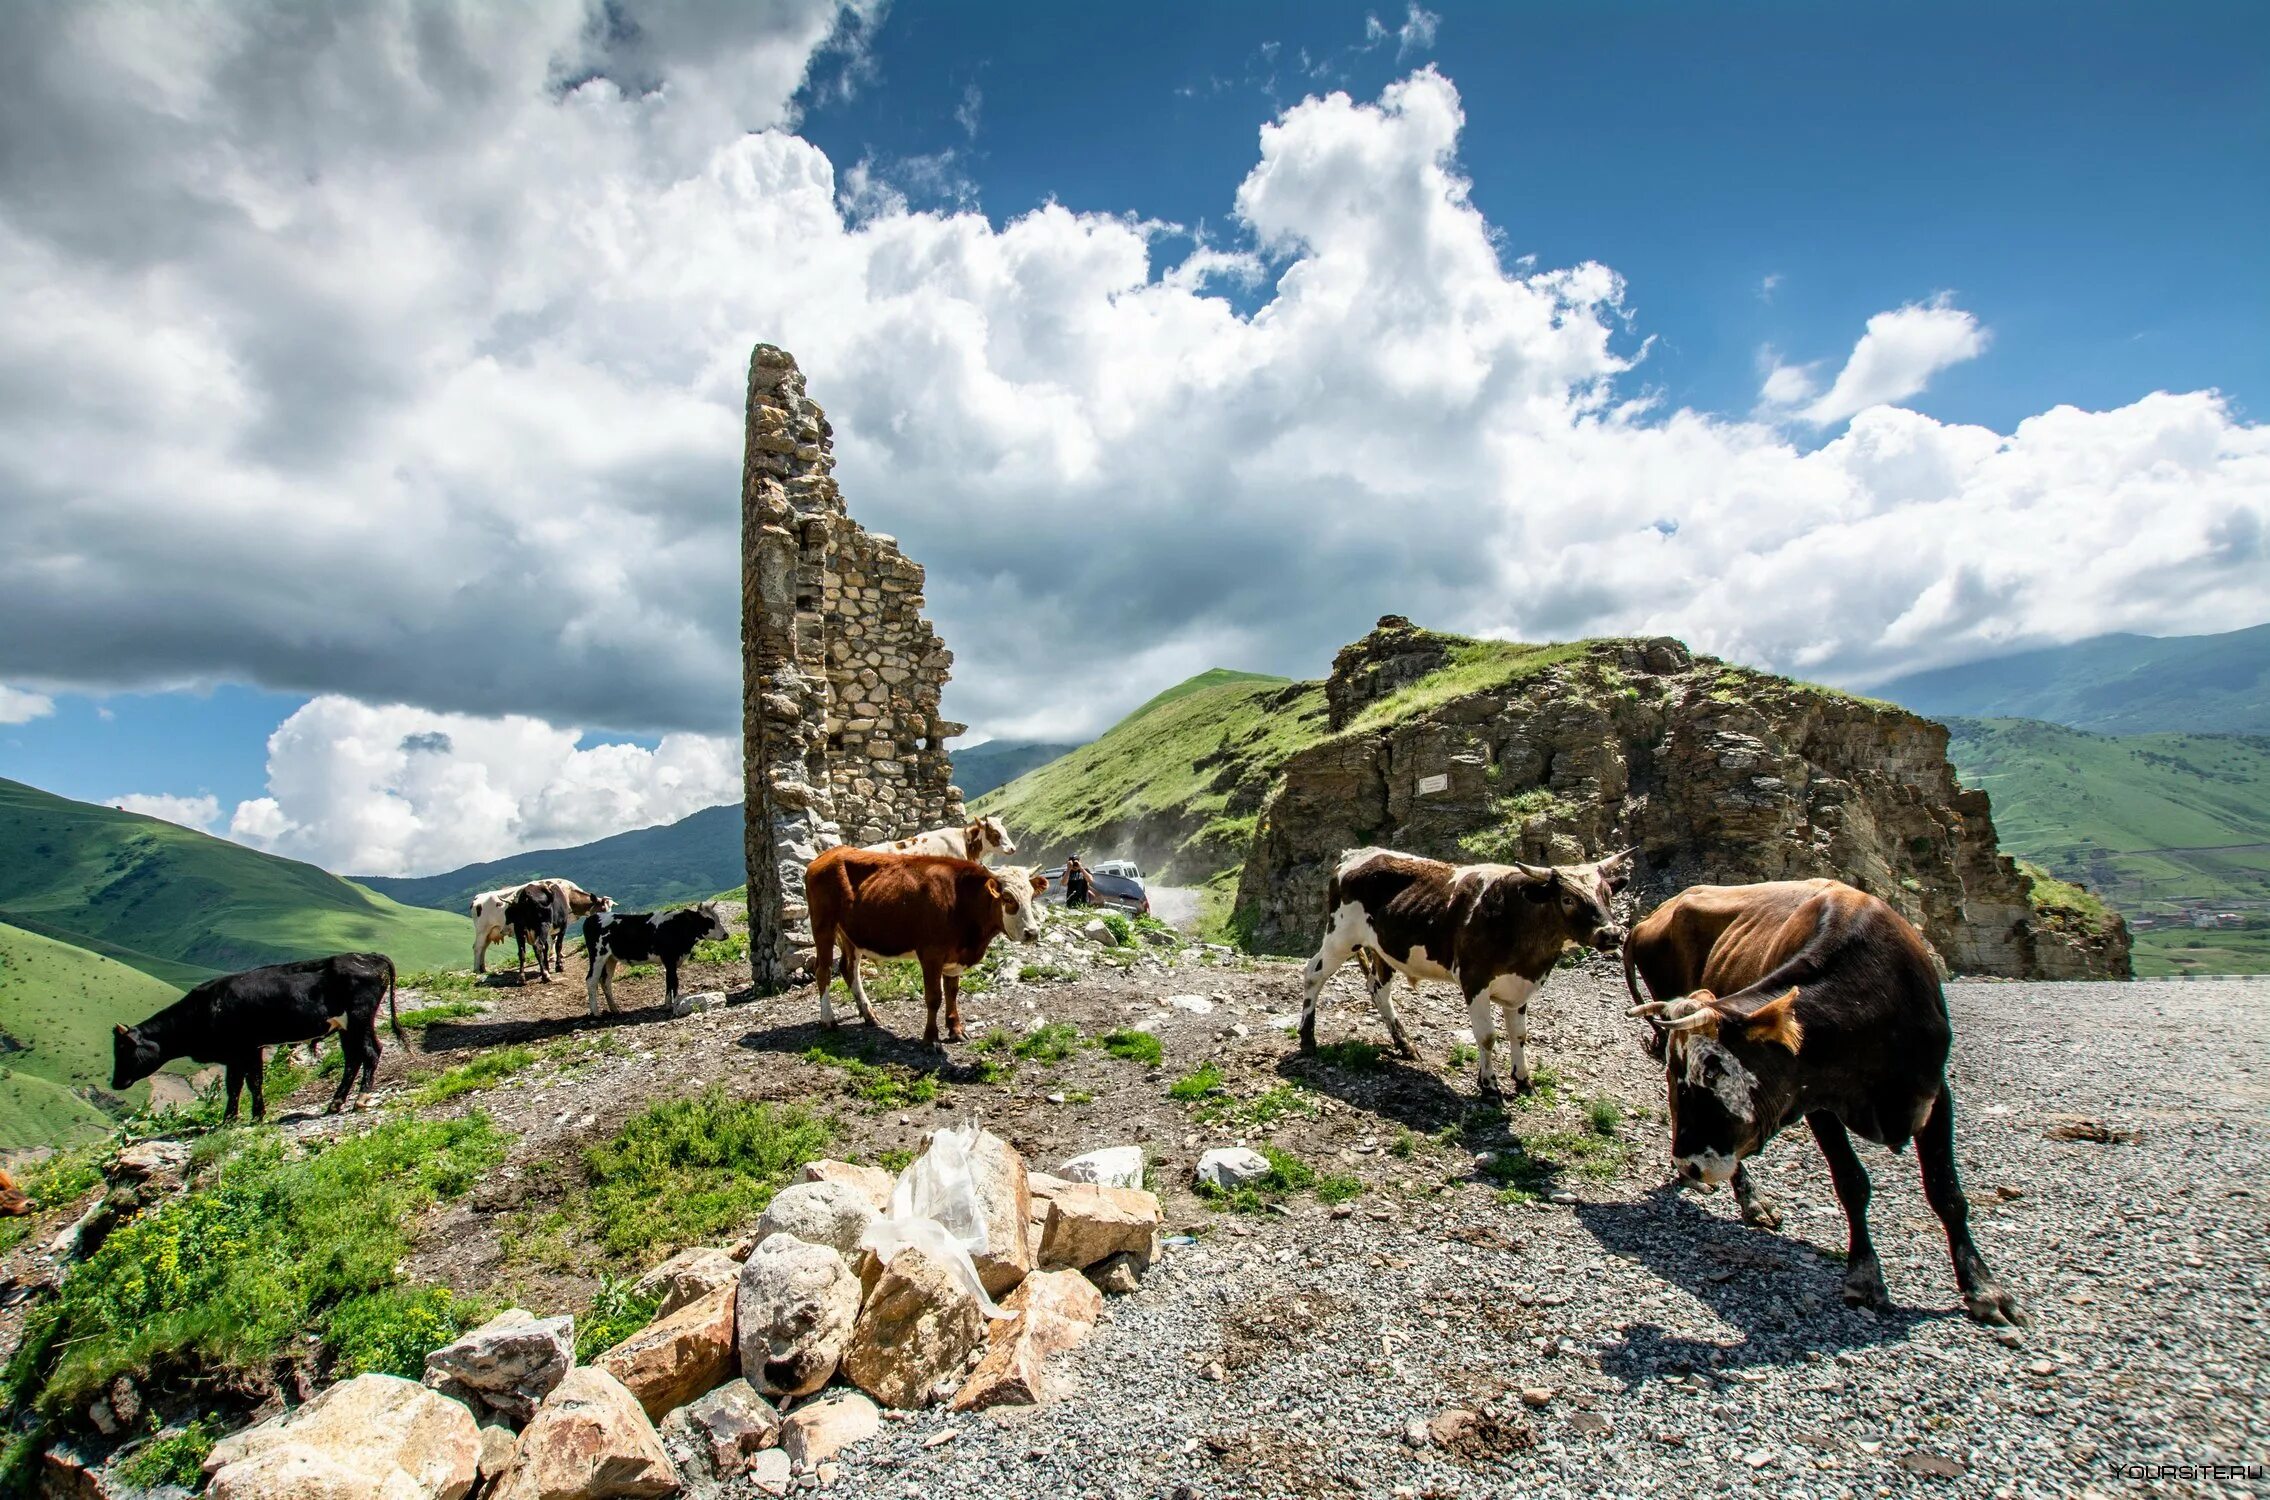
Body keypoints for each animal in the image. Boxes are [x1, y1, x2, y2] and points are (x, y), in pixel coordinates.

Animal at [111, 953, 408, 1116]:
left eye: (124, 1049)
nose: (115, 1082)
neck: (201, 1011)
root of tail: (371, 957)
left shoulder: (238, 1049)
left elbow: (239, 1084)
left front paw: (232, 1119)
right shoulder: (251, 1048)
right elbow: (251, 1081)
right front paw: (255, 1115)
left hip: (359, 1019)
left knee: (370, 1052)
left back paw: (361, 1099)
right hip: (346, 1027)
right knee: (353, 1059)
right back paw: (335, 1103)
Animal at [812, 848, 1048, 1048]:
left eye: (1031, 896)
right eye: (1007, 898)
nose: (1032, 932)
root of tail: (830, 853)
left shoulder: (954, 957)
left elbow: (952, 993)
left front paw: (956, 1029)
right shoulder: (931, 955)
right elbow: (934, 997)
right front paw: (930, 1039)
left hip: (851, 934)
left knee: (849, 968)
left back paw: (869, 1014)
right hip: (823, 926)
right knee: (823, 972)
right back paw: (828, 1019)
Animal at [1298, 844, 1634, 1089]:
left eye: (1606, 894)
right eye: (1567, 899)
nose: (1612, 934)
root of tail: (1355, 855)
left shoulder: (1520, 986)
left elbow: (1519, 1035)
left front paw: (1523, 1079)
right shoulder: (1475, 980)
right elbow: (1487, 1036)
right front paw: (1489, 1085)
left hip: (1384, 949)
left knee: (1378, 990)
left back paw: (1405, 1044)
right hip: (1340, 937)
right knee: (1313, 974)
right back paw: (1307, 1039)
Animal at [1625, 875, 2033, 1325]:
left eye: (1714, 1071)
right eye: (1681, 1074)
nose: (1690, 1164)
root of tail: (1651, 918)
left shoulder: (1935, 1092)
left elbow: (1946, 1191)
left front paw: (1984, 1287)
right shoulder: (1812, 1097)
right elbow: (1851, 1182)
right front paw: (1865, 1276)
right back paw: (1752, 1199)